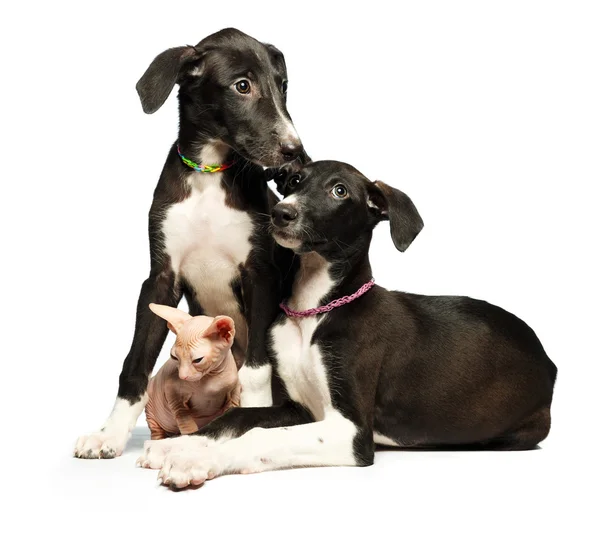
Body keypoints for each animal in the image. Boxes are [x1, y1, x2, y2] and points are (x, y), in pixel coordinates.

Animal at [144, 304, 240, 440]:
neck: (212, 376)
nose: (182, 376)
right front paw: (190, 437)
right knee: (156, 430)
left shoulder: (234, 391)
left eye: (198, 360)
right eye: (174, 357)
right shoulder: (172, 393)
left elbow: (230, 411)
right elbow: (185, 419)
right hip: (150, 405)